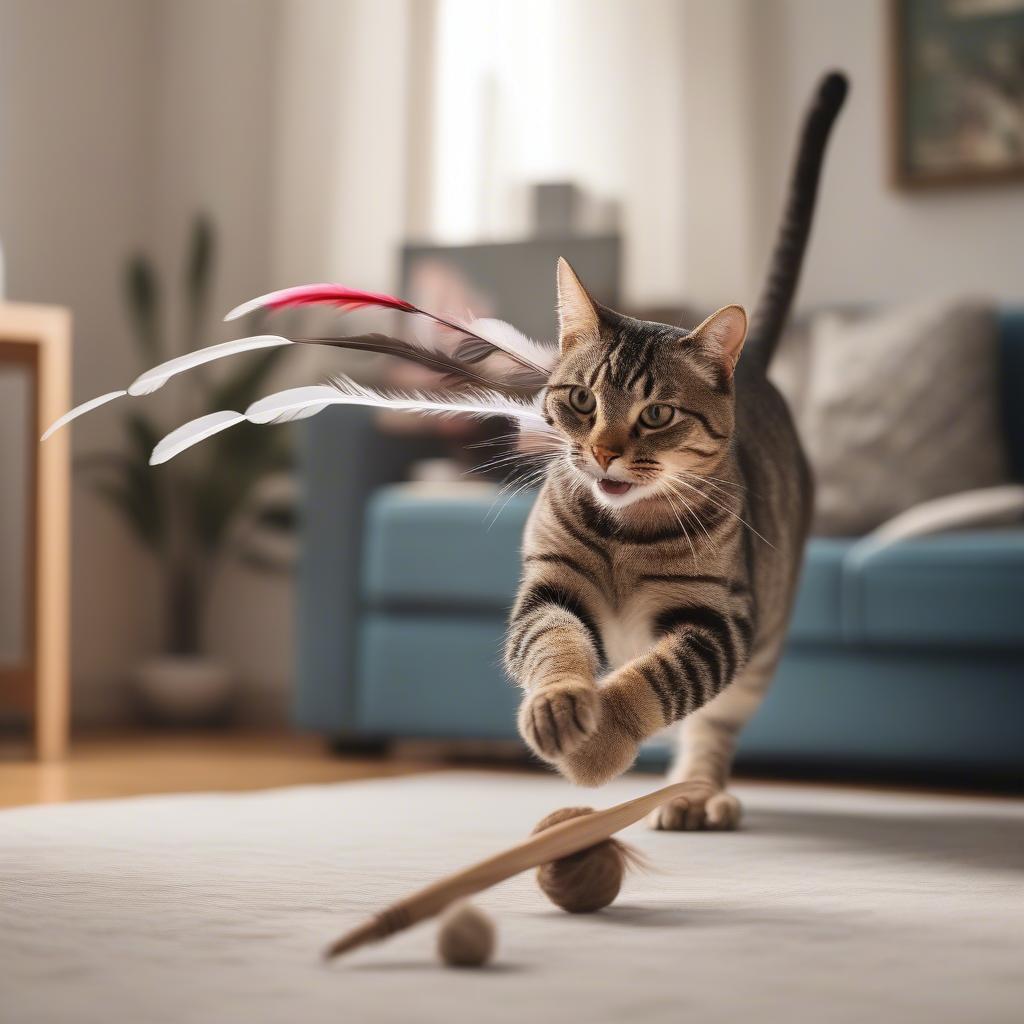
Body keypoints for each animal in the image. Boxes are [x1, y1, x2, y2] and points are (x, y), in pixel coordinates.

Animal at [503, 72, 847, 827]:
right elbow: (554, 643)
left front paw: (599, 747)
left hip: (763, 651)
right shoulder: (550, 586)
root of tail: (753, 368)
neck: (624, 535)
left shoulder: (719, 623)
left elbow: (654, 681)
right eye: (582, 401)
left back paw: (695, 792)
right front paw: (559, 704)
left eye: (656, 414)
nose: (603, 452)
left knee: (711, 725)